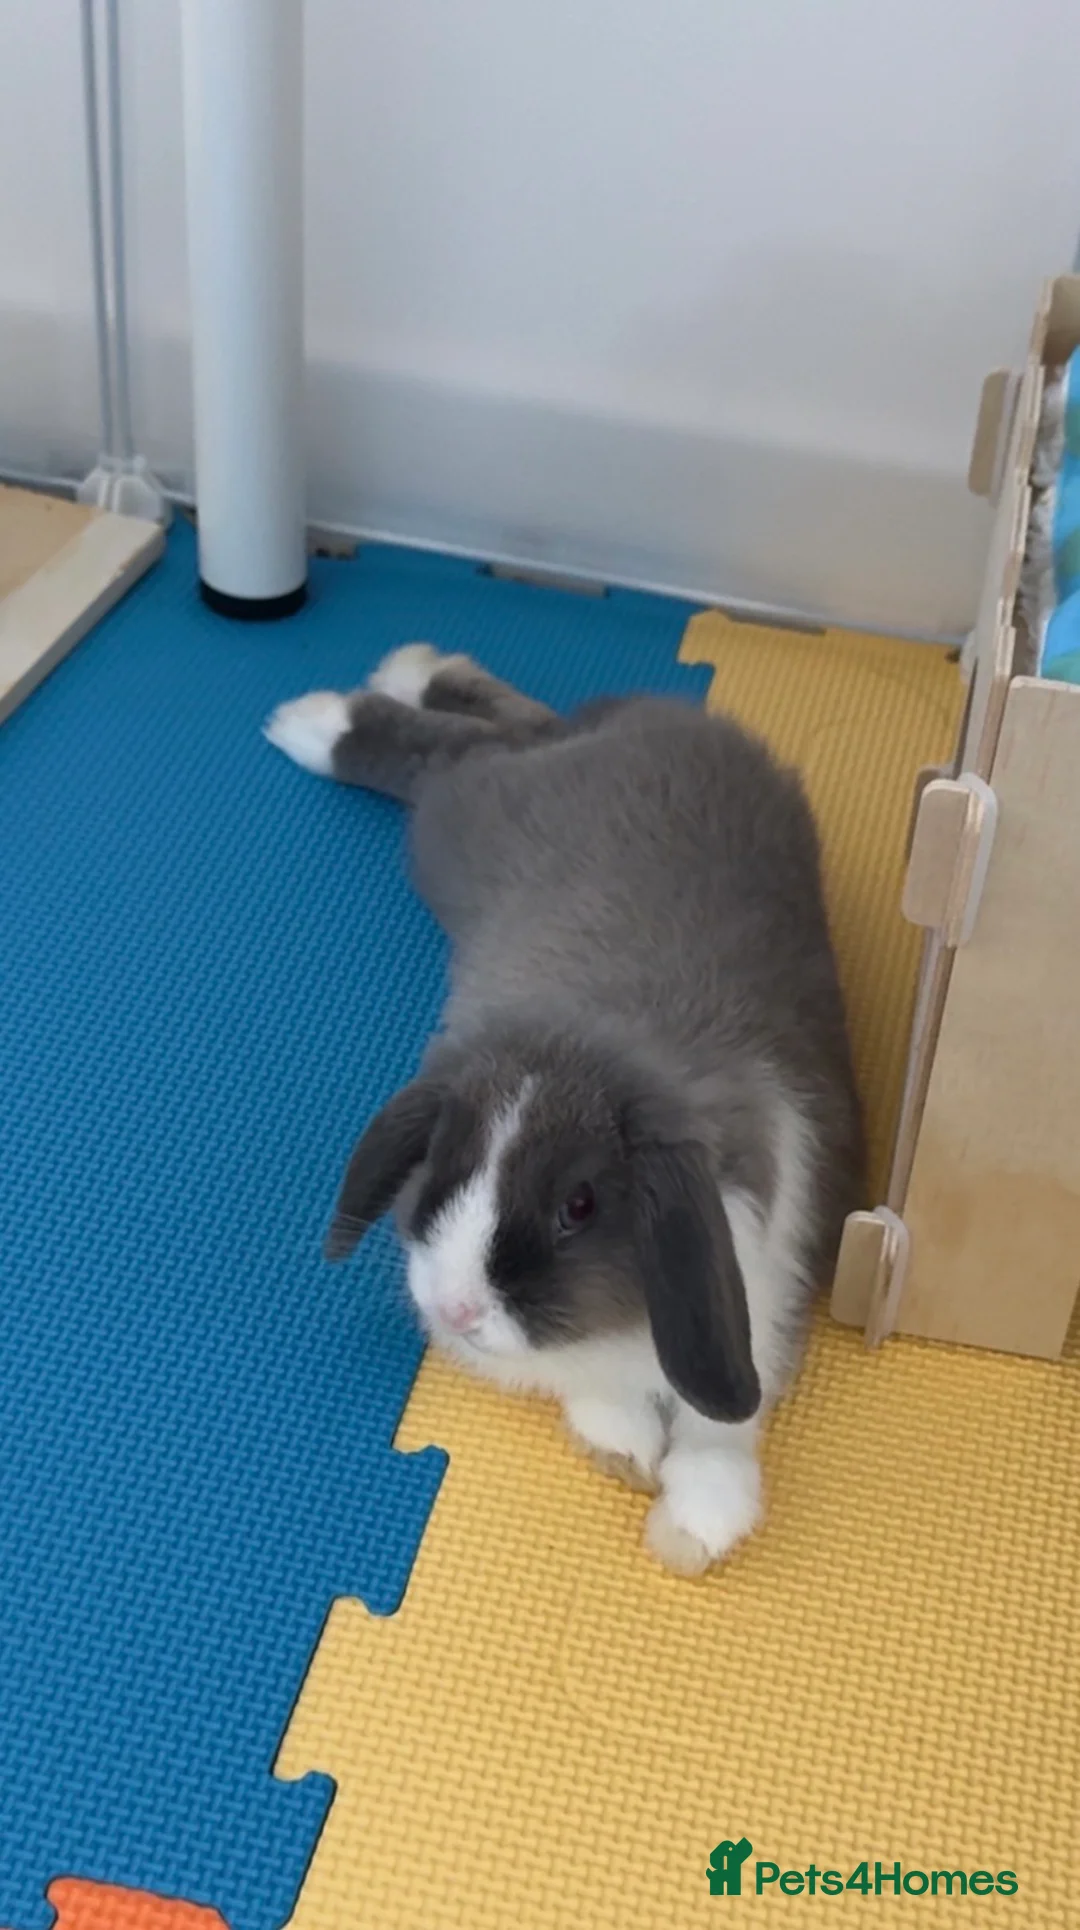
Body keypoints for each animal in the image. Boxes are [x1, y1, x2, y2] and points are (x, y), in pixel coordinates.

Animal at [264, 644, 864, 1576]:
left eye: (578, 1207)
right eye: (444, 1163)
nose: (456, 1312)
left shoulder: (773, 1278)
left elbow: (730, 1415)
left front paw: (694, 1525)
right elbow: (589, 1390)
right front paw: (623, 1447)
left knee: (502, 729)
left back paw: (403, 673)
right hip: (462, 822)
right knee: (448, 751)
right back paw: (324, 712)